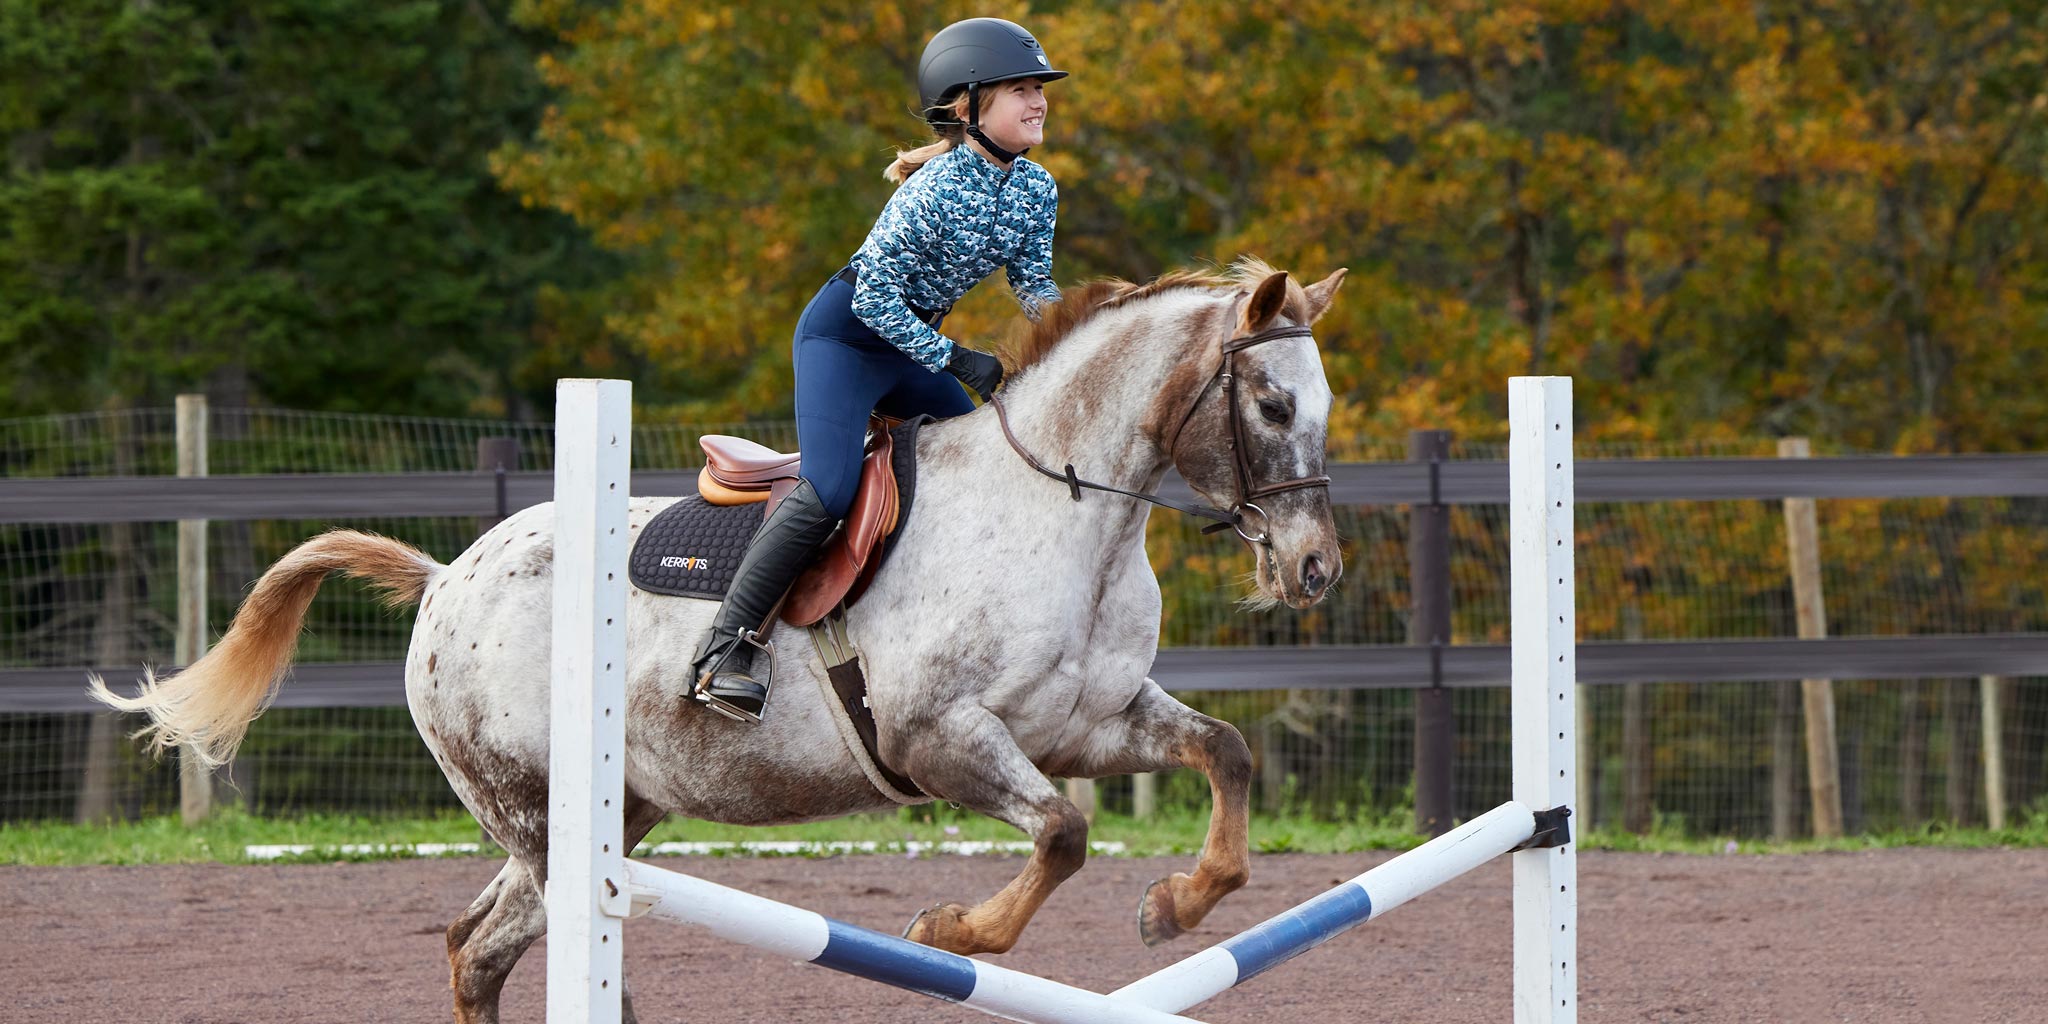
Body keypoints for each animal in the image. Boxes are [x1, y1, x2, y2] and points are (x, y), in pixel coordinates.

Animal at [92, 258, 1343, 1024]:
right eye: (1272, 407)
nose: (1314, 568)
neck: (1064, 510)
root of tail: (449, 578)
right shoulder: (939, 738)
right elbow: (1063, 834)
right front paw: (950, 924)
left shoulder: (1088, 724)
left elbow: (1222, 754)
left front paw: (1177, 905)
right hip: (542, 820)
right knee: (522, 940)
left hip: (613, 809)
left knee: (475, 945)